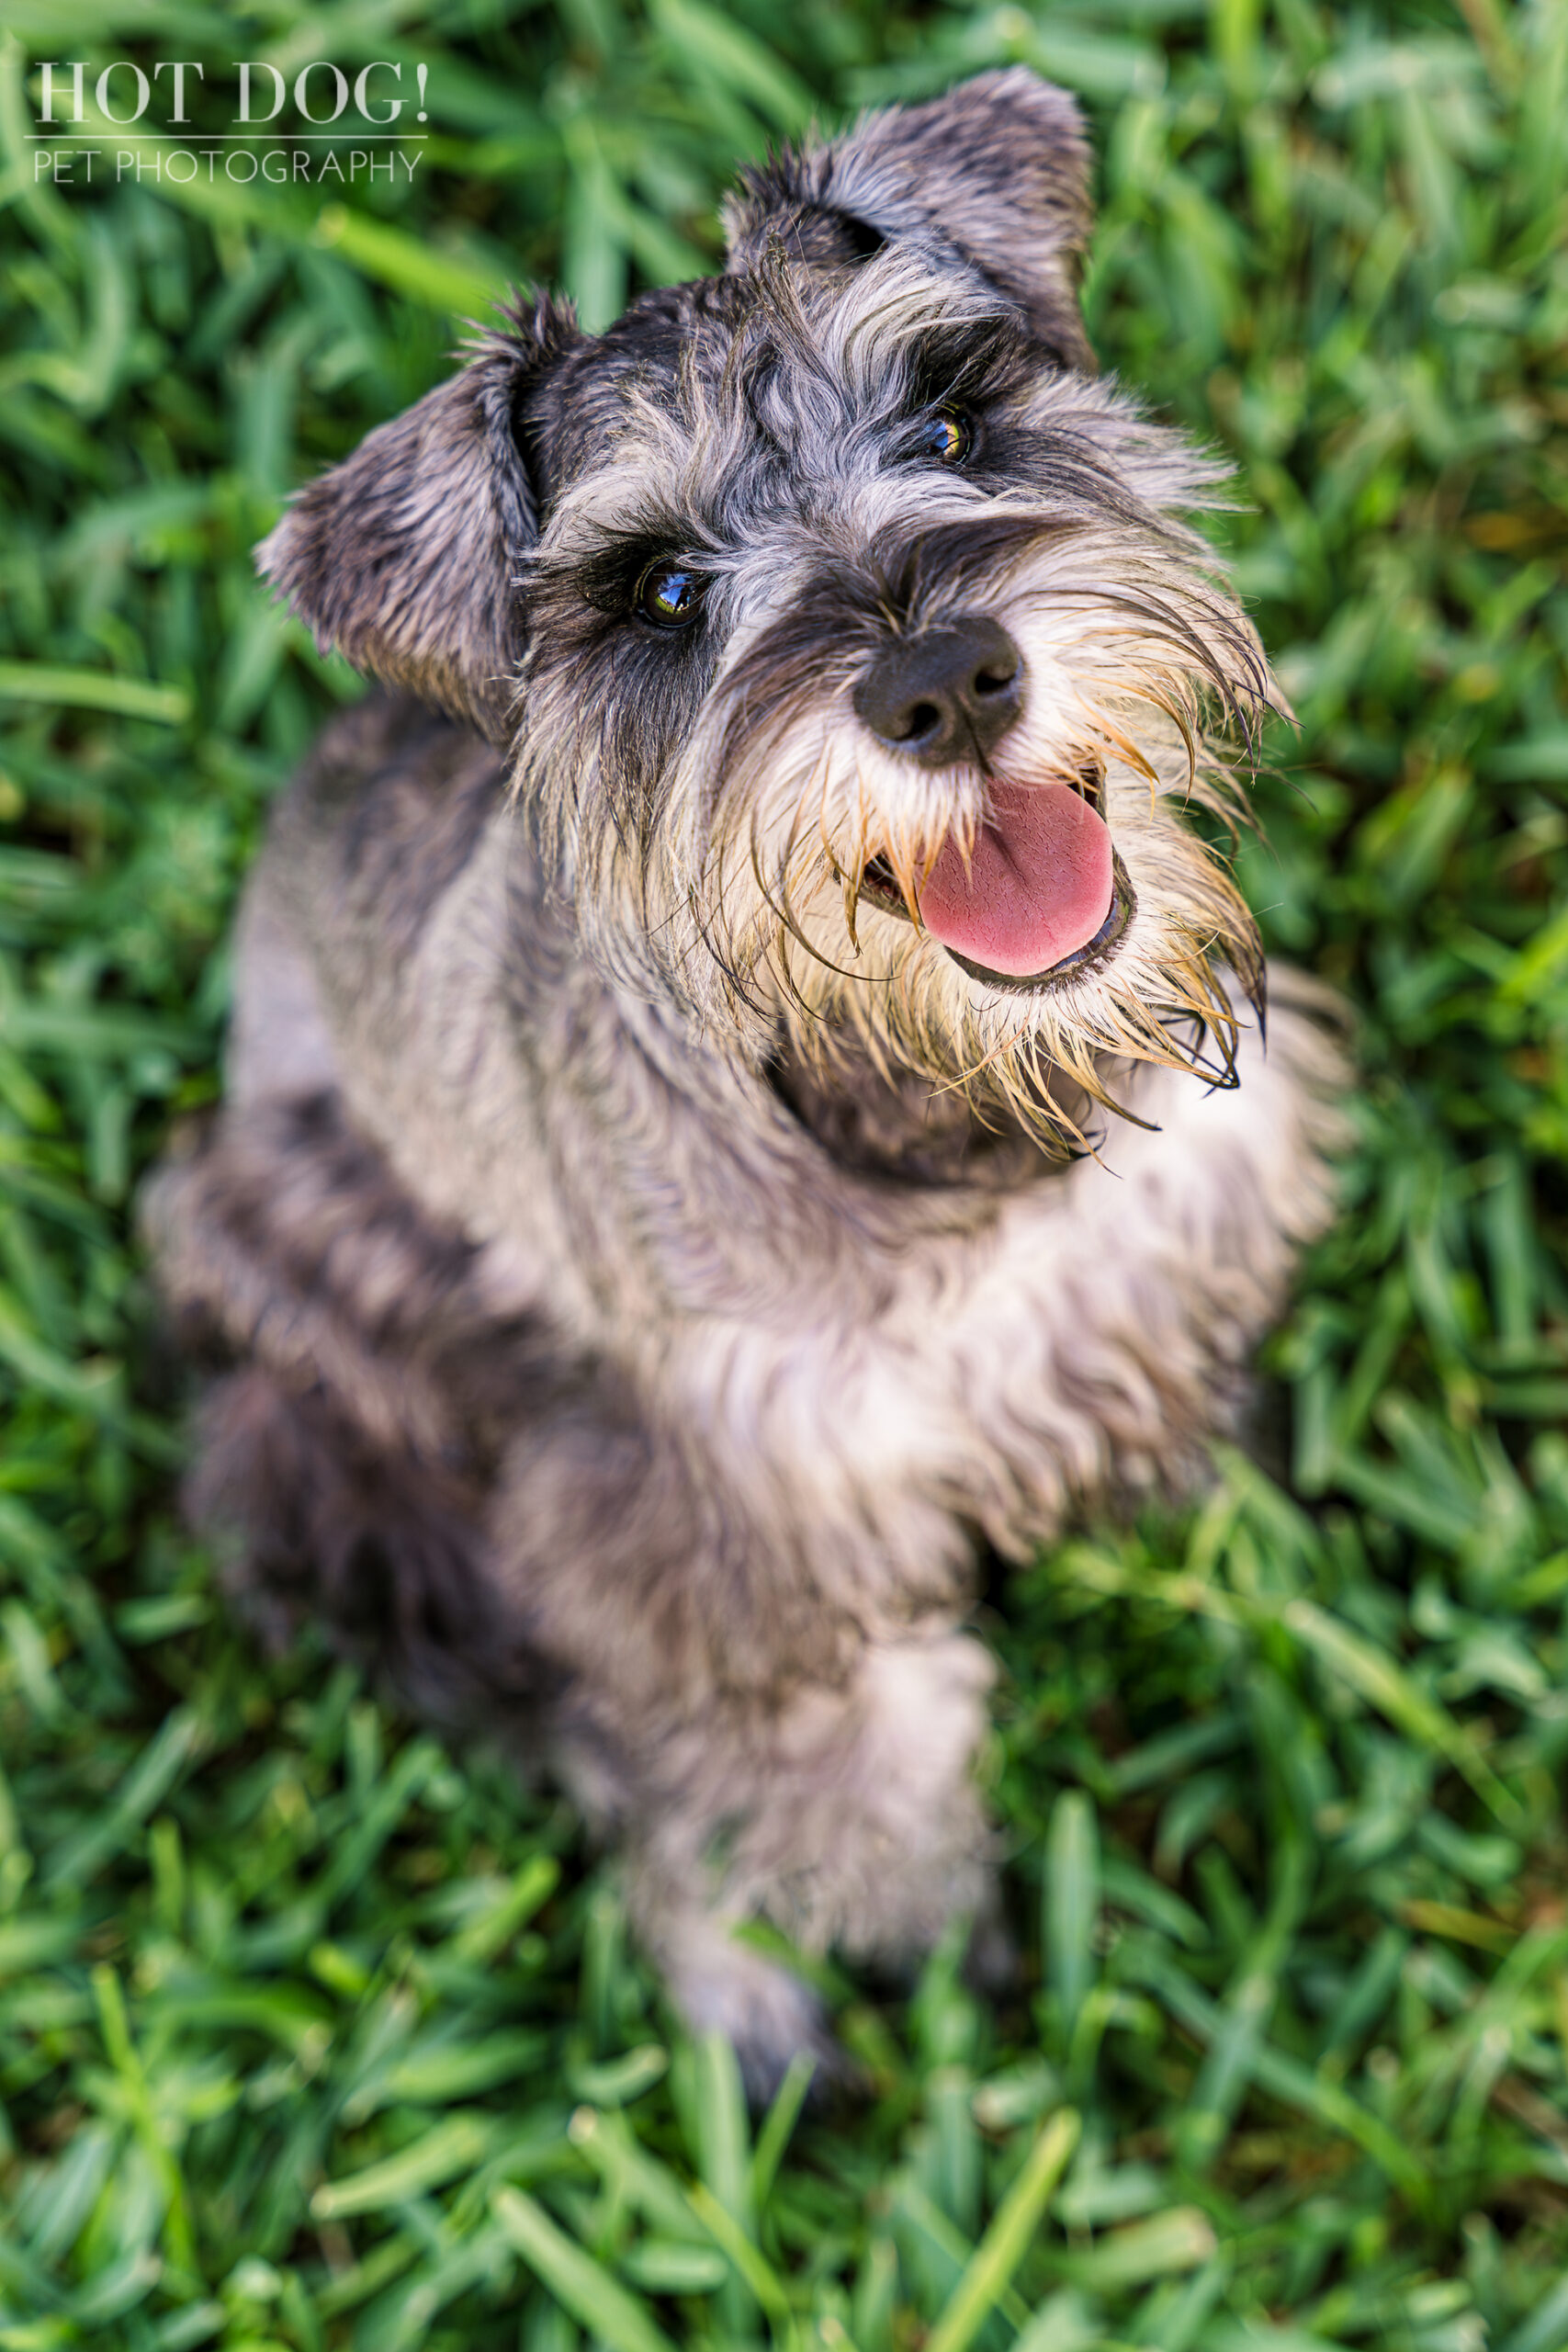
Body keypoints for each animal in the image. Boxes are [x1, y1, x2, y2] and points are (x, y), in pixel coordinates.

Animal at [146, 64, 1344, 2088]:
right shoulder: (723, 1516)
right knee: (576, 1714)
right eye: (659, 588)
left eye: (952, 410)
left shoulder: (1161, 1241)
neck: (934, 1128)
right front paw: (913, 1953)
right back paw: (737, 1990)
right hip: (339, 1367)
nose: (946, 677)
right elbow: (825, 1753)